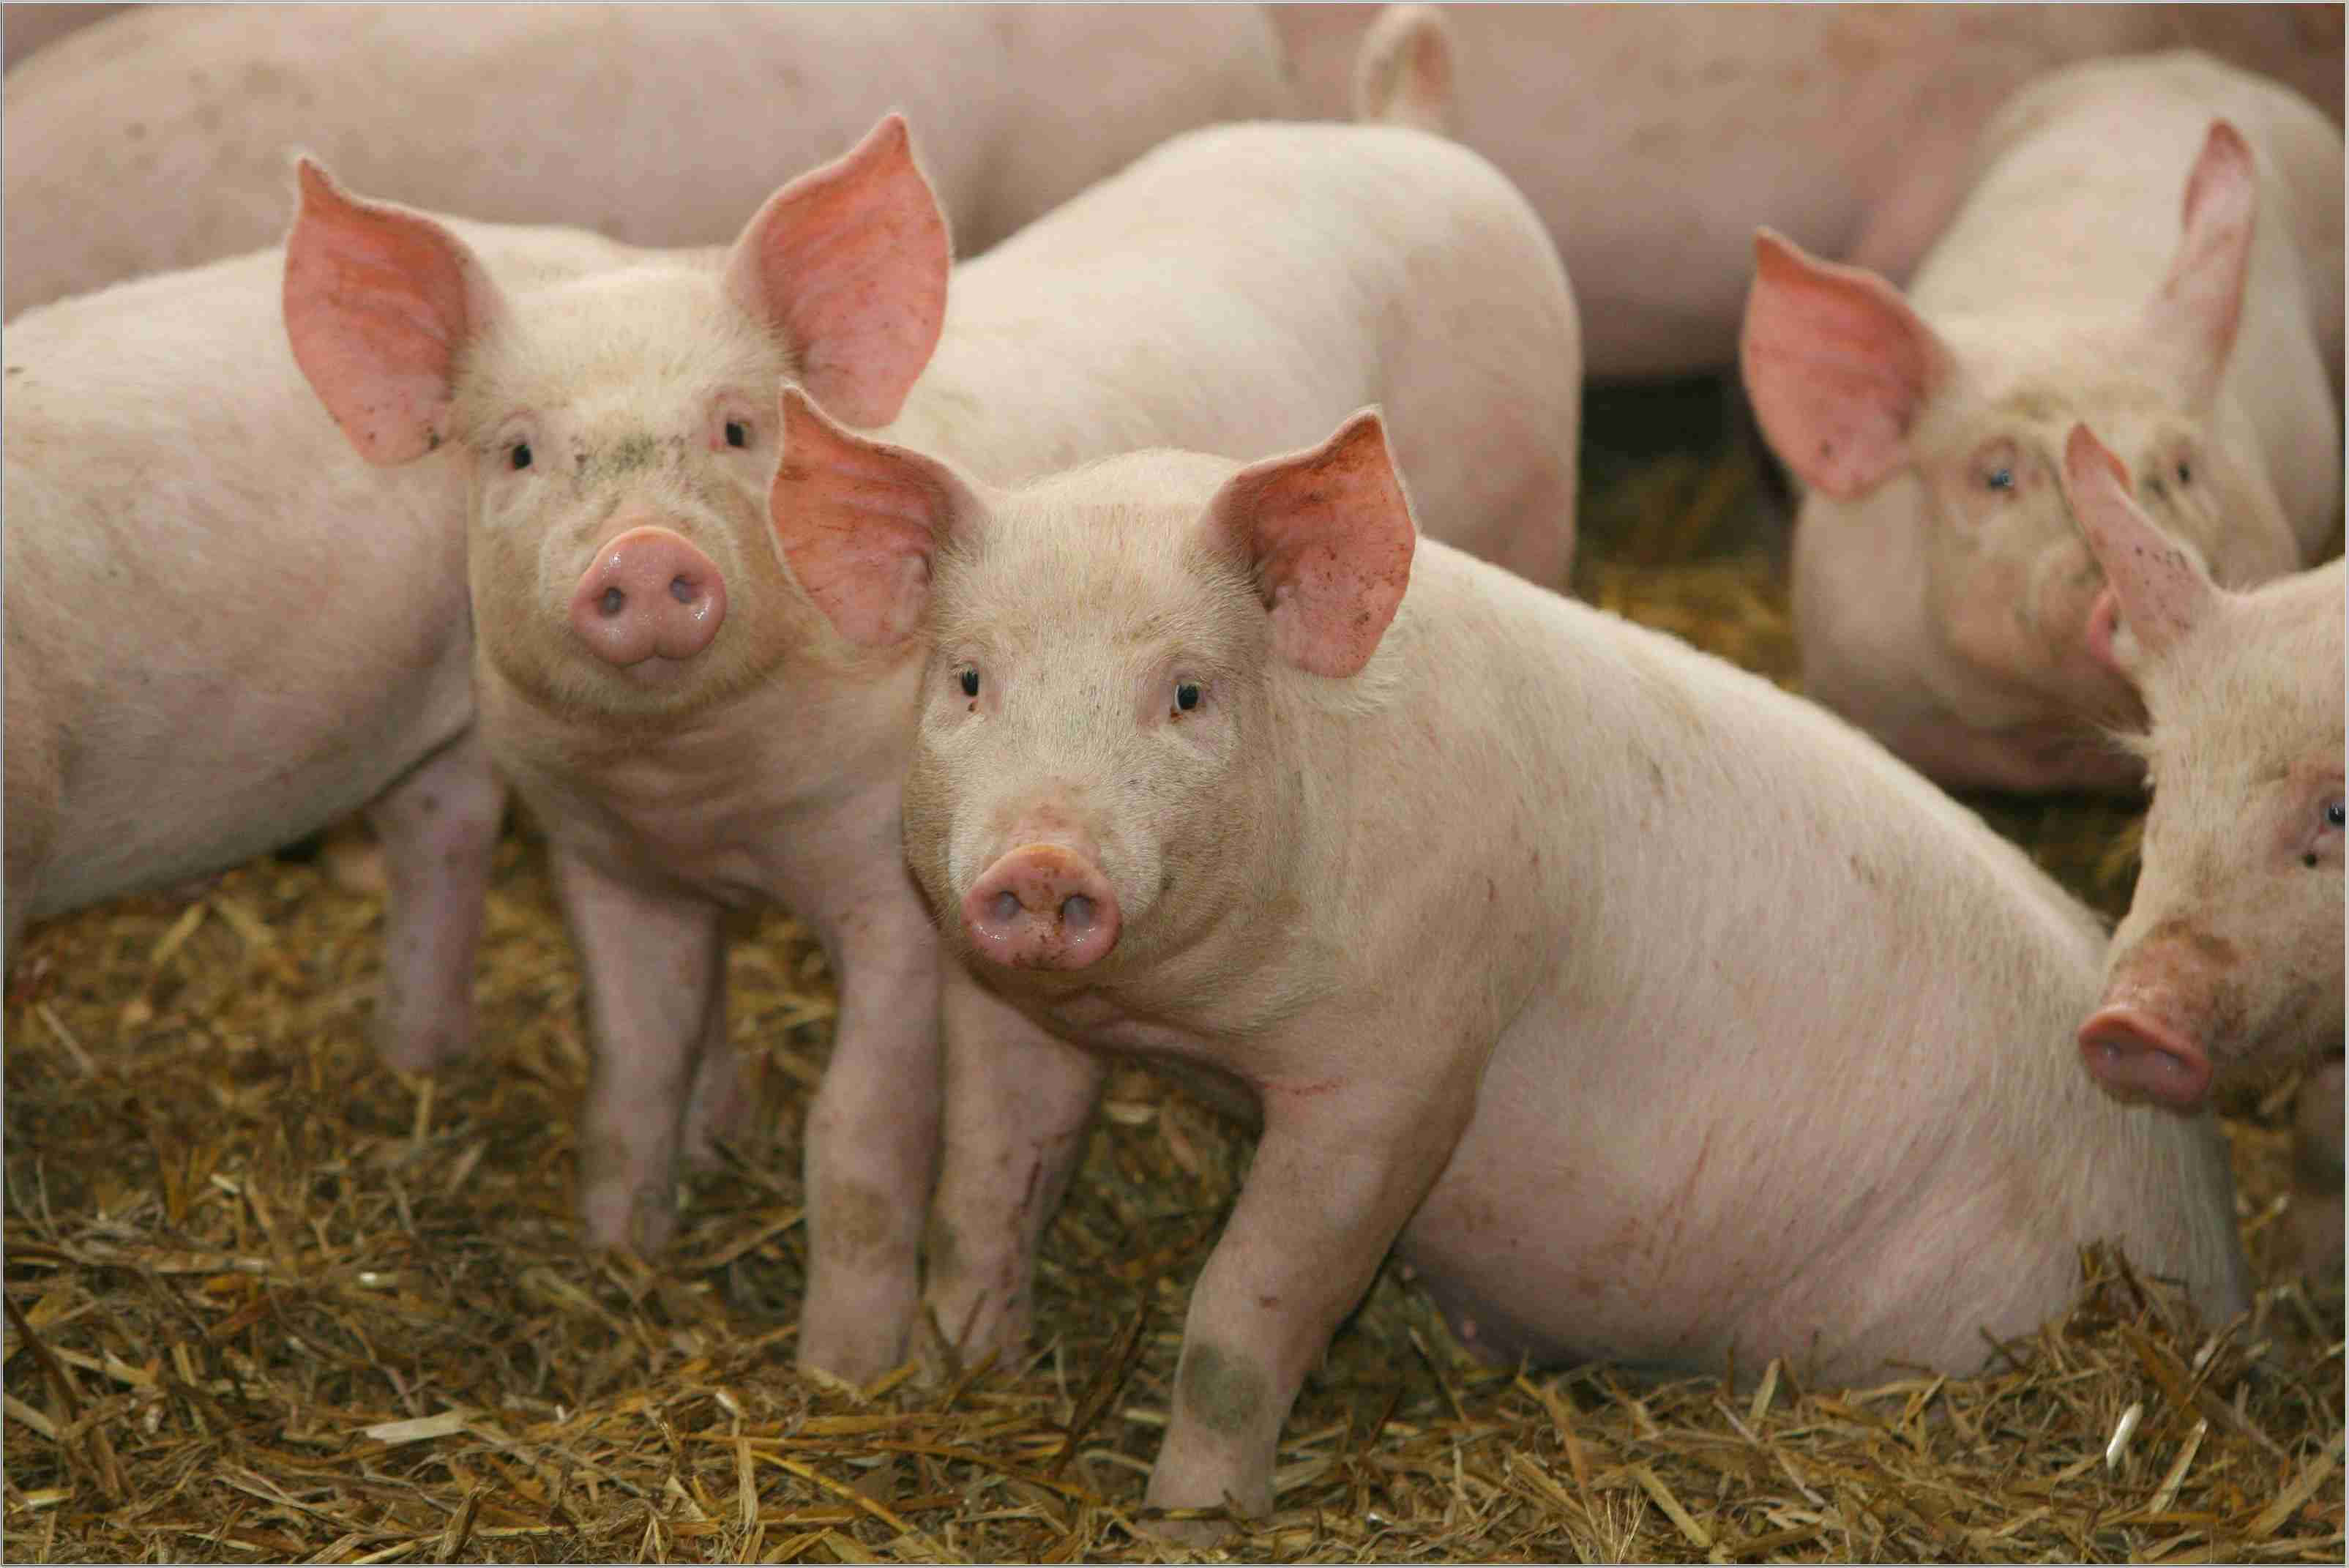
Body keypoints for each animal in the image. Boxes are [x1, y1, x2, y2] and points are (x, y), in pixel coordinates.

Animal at [280, 114, 1579, 1380]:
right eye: (515, 452)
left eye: (739, 428)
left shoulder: (897, 891)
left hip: (1532, 503)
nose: (645, 555)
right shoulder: (606, 861)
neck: (703, 791)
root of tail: (1409, 136)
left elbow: (857, 1131)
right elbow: (631, 1075)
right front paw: (617, 1257)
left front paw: (844, 1374)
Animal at [775, 397, 2250, 1530]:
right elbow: (984, 1197)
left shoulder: (1404, 1066)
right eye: (970, 680)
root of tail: (2215, 1248)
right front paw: (950, 1380)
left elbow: (1242, 1313)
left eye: (1187, 693)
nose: (1040, 861)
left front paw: (1190, 1518)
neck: (1186, 1025)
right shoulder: (1013, 1007)